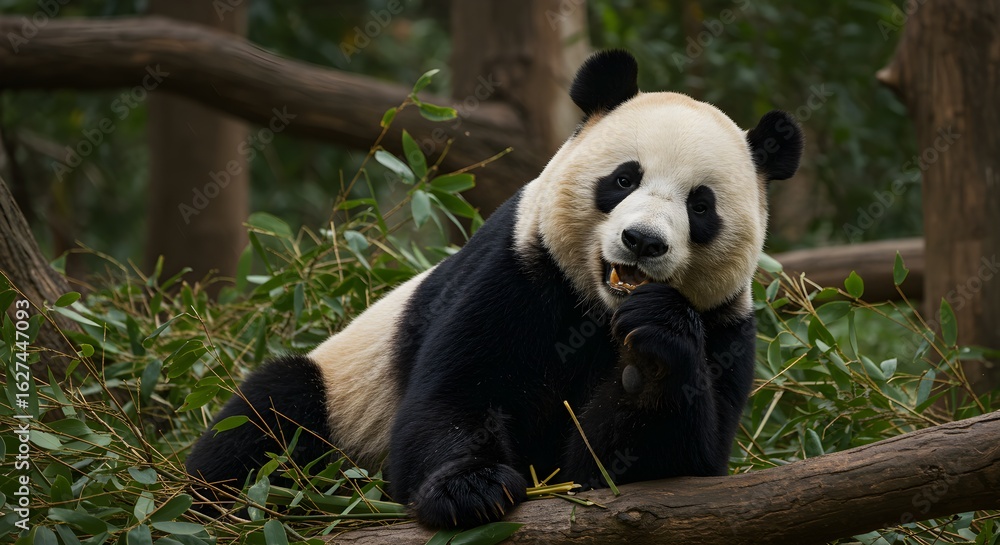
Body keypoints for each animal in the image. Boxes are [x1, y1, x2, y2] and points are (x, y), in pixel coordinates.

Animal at [186, 49, 803, 528]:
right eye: (624, 178)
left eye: (700, 206)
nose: (643, 241)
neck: (598, 311)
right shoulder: (517, 269)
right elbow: (456, 396)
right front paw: (471, 489)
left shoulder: (726, 327)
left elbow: (662, 470)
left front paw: (652, 350)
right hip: (340, 400)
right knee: (271, 411)